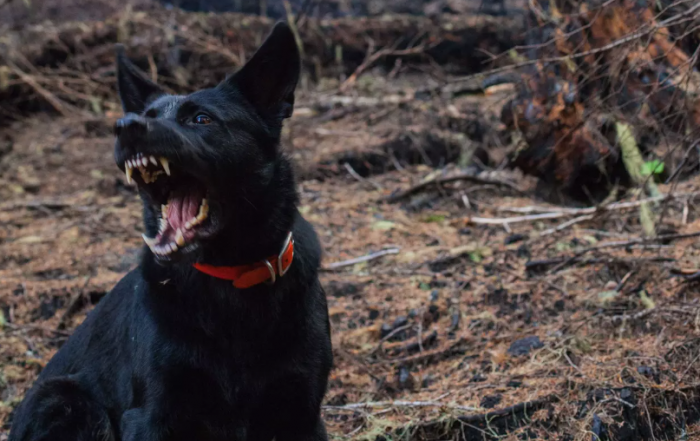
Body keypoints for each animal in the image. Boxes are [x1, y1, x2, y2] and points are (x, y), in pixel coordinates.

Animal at [10, 23, 334, 440]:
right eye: (145, 115)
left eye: (201, 119)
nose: (125, 127)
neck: (231, 279)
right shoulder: (152, 415)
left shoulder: (302, 413)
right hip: (68, 401)